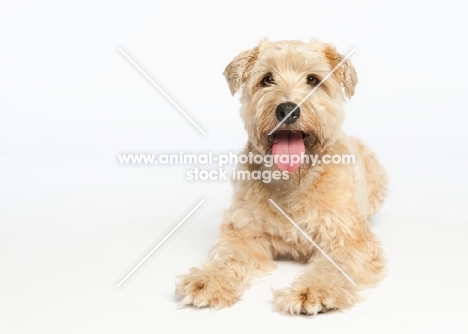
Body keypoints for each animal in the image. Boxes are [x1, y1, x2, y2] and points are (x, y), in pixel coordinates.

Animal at [176, 39, 388, 316]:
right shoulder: (243, 232)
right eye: (267, 79)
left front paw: (312, 290)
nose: (287, 110)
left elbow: (335, 266)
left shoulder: (348, 238)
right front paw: (208, 279)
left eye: (313, 79)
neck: (291, 180)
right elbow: (228, 256)